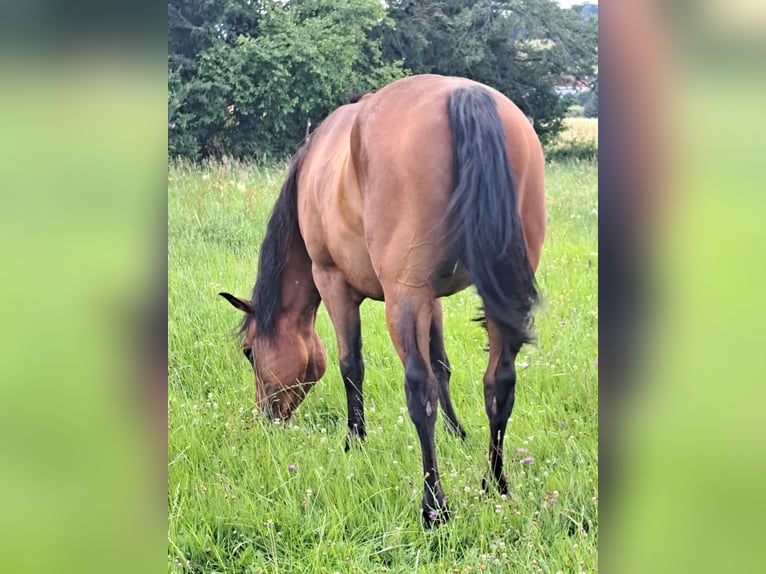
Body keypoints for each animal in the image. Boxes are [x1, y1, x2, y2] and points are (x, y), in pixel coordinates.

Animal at [220, 74, 546, 526]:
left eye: (250, 352)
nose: (266, 419)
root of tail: (464, 94)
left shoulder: (333, 281)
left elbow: (351, 366)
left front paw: (354, 440)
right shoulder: (432, 298)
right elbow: (443, 365)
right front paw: (457, 433)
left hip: (403, 299)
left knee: (419, 391)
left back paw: (434, 506)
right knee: (499, 383)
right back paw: (494, 484)